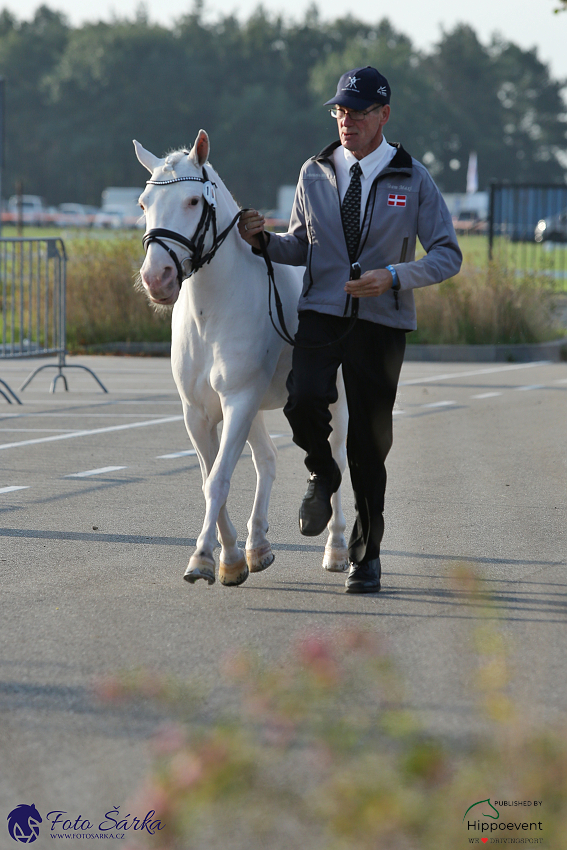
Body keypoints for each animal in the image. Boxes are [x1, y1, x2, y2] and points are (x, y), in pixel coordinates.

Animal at [136, 129, 350, 588]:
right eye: (144, 203)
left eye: (193, 201)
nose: (156, 278)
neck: (211, 314)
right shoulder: (199, 412)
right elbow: (209, 480)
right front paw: (233, 558)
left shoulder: (238, 400)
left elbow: (218, 481)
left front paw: (203, 558)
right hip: (255, 408)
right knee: (266, 460)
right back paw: (258, 546)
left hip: (334, 399)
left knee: (337, 458)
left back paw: (338, 549)